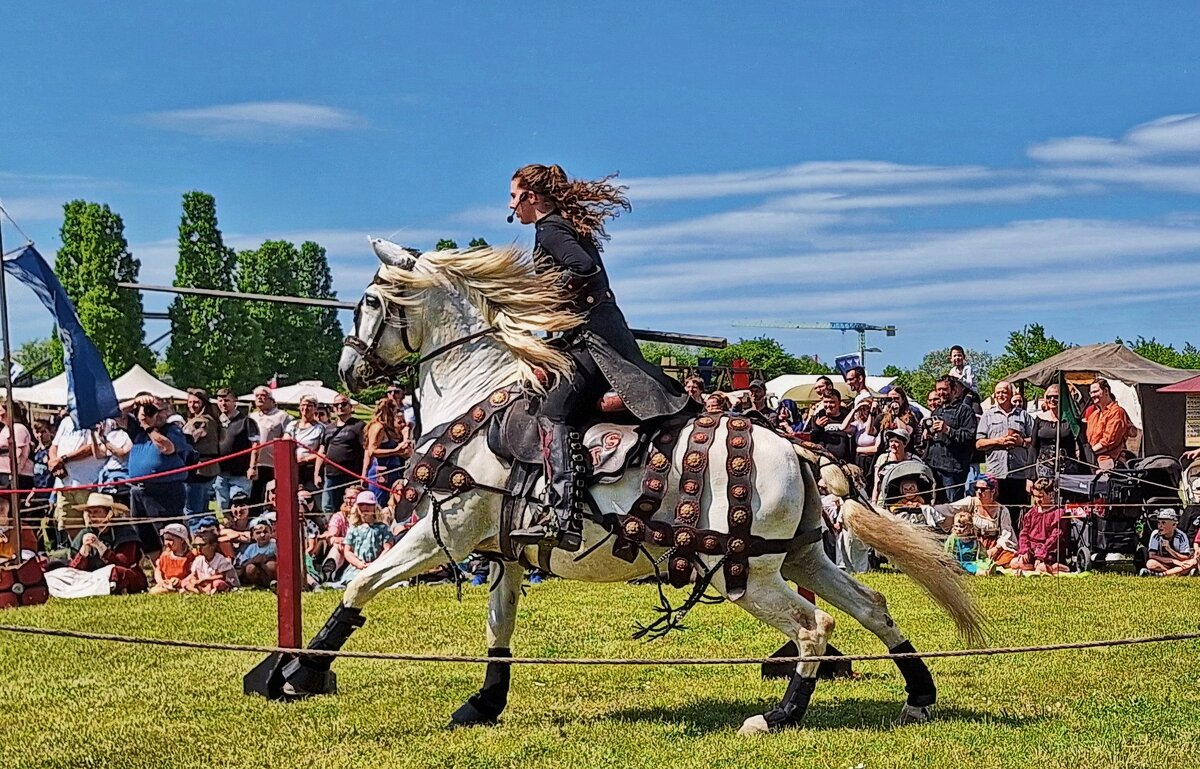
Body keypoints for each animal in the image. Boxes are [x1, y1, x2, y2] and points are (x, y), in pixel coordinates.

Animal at [272, 239, 984, 729]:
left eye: (368, 300)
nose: (349, 369)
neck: (479, 395)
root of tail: (797, 448)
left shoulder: (447, 526)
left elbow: (360, 582)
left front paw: (299, 673)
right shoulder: (503, 549)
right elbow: (499, 625)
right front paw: (483, 703)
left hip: (745, 574)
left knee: (815, 627)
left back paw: (779, 715)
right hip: (799, 556)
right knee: (872, 605)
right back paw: (918, 695)